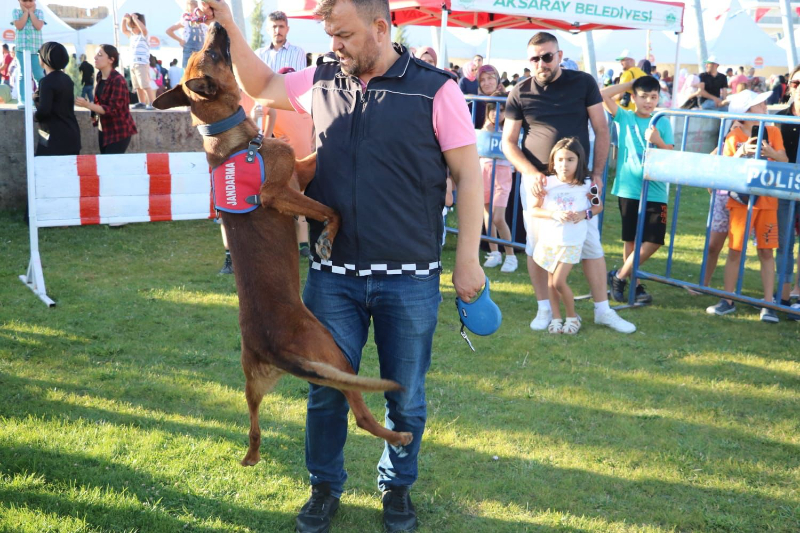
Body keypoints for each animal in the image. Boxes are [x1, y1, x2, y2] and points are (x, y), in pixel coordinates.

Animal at [153, 22, 412, 464]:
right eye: (214, 54)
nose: (217, 23)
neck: (234, 139)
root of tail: (274, 351)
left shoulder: (299, 172)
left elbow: (316, 167)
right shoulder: (280, 191)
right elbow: (332, 209)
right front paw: (326, 240)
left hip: (252, 387)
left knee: (254, 429)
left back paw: (252, 456)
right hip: (335, 354)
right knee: (360, 414)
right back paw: (399, 437)